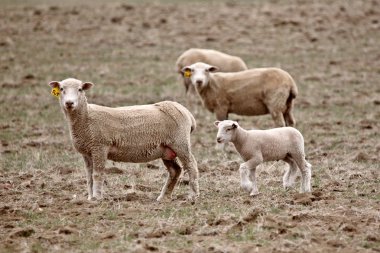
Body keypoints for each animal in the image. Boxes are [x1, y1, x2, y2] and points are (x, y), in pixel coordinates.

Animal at [49, 78, 200, 201]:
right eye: (61, 89)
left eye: (80, 89)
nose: (69, 103)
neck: (86, 117)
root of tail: (188, 113)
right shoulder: (87, 152)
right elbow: (89, 176)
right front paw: (90, 197)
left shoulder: (100, 146)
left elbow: (97, 174)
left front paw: (97, 197)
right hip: (166, 149)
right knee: (175, 171)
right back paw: (163, 197)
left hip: (180, 142)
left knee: (191, 165)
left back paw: (193, 196)